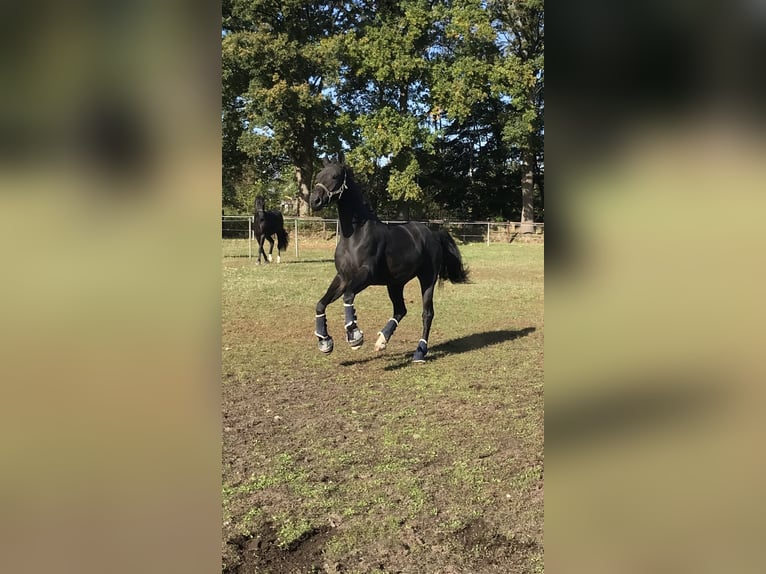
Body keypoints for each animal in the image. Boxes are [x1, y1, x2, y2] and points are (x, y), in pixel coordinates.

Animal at [310, 158, 468, 364]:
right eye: (319, 175)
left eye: (335, 176)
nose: (314, 201)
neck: (355, 235)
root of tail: (433, 234)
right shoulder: (343, 277)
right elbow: (321, 303)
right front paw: (325, 342)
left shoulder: (366, 275)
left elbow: (348, 296)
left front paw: (354, 336)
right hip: (395, 284)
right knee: (400, 310)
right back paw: (381, 342)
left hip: (427, 280)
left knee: (427, 313)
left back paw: (419, 353)